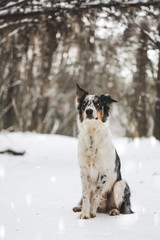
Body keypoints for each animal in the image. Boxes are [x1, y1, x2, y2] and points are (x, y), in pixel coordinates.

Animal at [72, 84, 132, 219]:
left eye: (98, 103)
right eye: (84, 104)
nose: (88, 111)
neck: (92, 135)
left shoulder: (104, 171)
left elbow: (96, 193)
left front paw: (91, 213)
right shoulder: (83, 170)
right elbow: (86, 194)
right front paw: (85, 214)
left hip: (121, 184)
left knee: (121, 208)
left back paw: (114, 211)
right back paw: (78, 207)